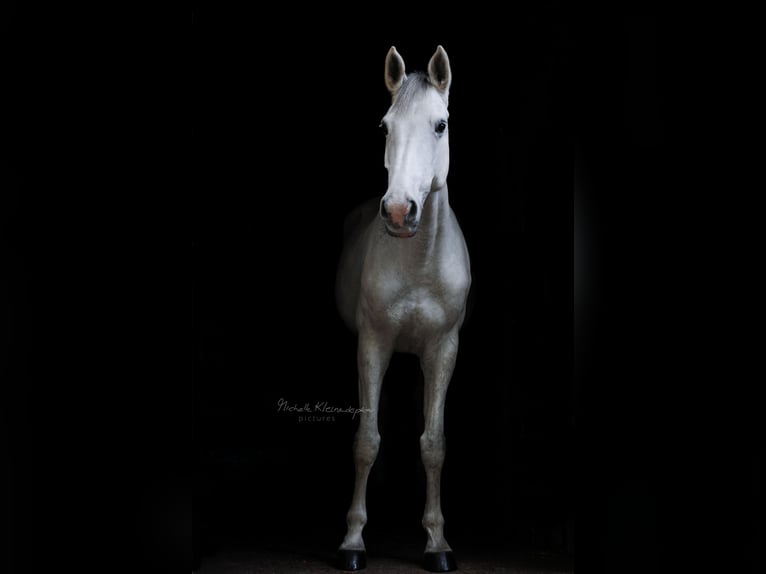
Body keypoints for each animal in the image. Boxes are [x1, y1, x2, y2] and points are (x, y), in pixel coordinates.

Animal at [335, 45, 471, 572]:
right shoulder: (373, 344)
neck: (419, 264)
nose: (398, 212)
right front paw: (353, 541)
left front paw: (437, 543)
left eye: (441, 124)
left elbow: (434, 444)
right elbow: (365, 441)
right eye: (384, 126)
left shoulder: (443, 350)